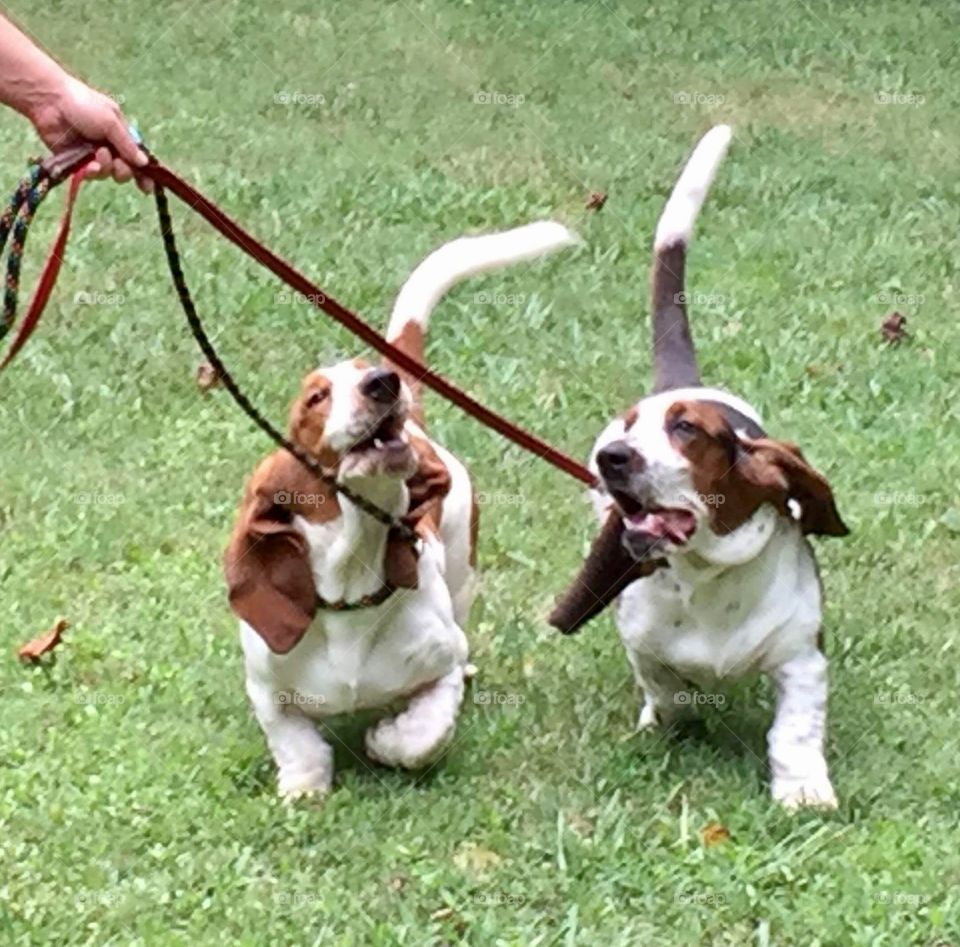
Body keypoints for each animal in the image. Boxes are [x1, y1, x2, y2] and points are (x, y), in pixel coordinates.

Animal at [227, 218, 576, 796]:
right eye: (316, 398)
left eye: (365, 369)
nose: (383, 382)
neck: (350, 592)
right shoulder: (266, 692)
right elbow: (295, 742)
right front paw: (304, 787)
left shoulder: (442, 666)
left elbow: (424, 734)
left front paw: (385, 741)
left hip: (462, 570)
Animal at [548, 124, 848, 808]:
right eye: (627, 427)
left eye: (687, 430)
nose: (612, 459)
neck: (708, 577)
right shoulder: (643, 643)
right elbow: (666, 685)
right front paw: (671, 714)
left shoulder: (802, 657)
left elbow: (795, 729)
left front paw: (803, 791)